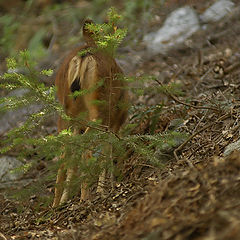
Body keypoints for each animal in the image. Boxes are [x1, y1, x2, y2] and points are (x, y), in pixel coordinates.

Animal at [51, 19, 128, 207]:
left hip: (67, 115)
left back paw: (57, 204)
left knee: (66, 154)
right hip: (98, 109)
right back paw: (86, 197)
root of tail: (83, 56)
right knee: (86, 149)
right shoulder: (113, 122)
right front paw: (106, 187)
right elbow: (107, 151)